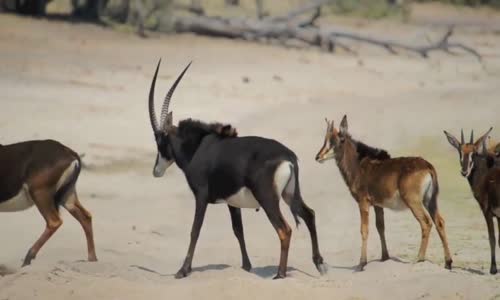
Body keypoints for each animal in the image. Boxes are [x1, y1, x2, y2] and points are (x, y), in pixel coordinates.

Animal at [146, 59, 326, 280]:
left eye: (159, 141)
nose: (156, 171)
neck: (198, 147)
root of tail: (289, 158)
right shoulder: (232, 202)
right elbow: (238, 230)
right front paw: (246, 266)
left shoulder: (201, 196)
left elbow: (195, 230)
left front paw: (183, 270)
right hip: (289, 194)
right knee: (309, 214)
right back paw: (319, 264)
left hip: (268, 199)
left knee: (285, 230)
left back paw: (280, 274)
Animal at [316, 116, 454, 270]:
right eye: (325, 140)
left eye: (338, 140)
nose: (318, 157)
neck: (358, 165)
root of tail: (428, 167)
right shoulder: (377, 205)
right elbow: (380, 227)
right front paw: (384, 257)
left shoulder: (363, 202)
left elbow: (364, 230)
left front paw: (361, 263)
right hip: (429, 201)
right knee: (439, 222)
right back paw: (448, 262)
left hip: (413, 201)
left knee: (426, 223)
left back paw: (419, 258)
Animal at [446, 127, 500, 274]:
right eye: (459, 151)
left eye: (473, 153)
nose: (464, 172)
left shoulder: (487, 212)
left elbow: (492, 239)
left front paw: (493, 269)